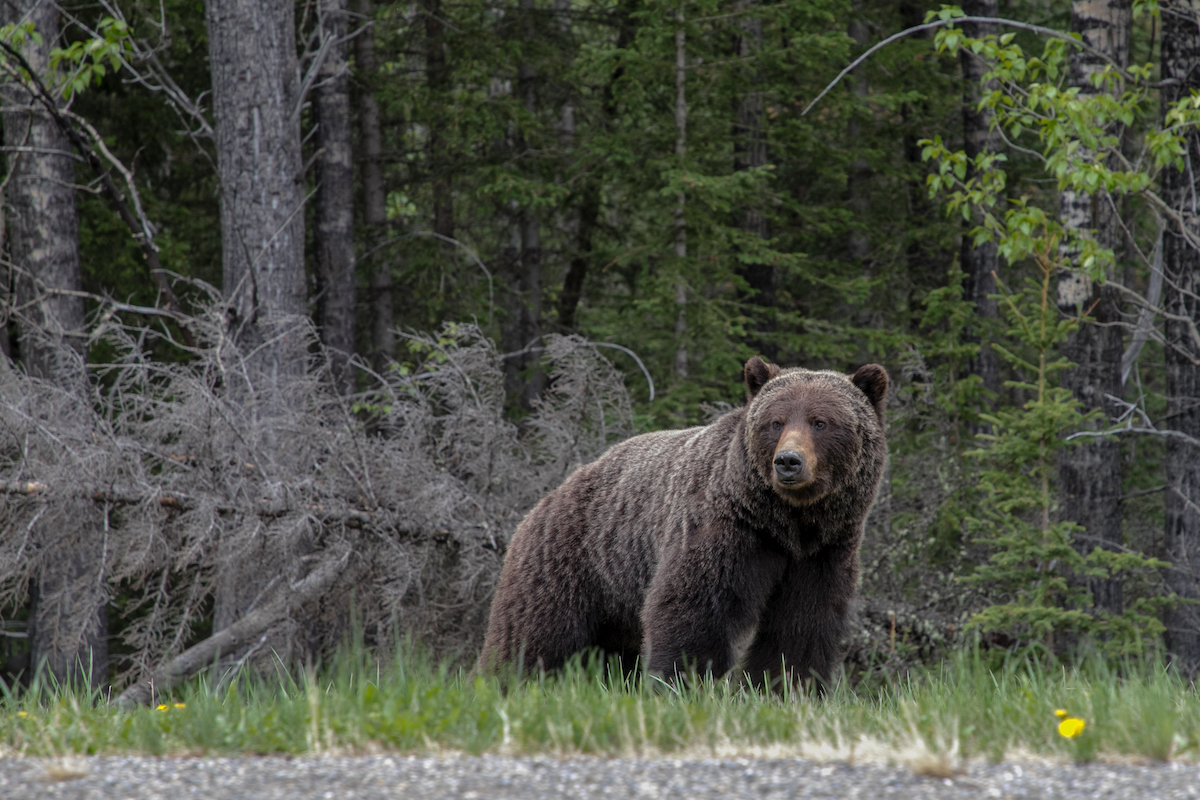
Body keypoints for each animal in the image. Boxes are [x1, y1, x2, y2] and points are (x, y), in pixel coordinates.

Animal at [480, 357, 892, 690]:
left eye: (820, 422)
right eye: (775, 422)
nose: (788, 461)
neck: (787, 523)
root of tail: (547, 498)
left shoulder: (823, 551)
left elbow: (802, 623)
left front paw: (787, 687)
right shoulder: (725, 528)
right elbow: (693, 606)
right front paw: (683, 682)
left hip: (614, 597)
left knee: (612, 650)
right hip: (570, 561)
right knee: (531, 633)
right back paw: (502, 682)